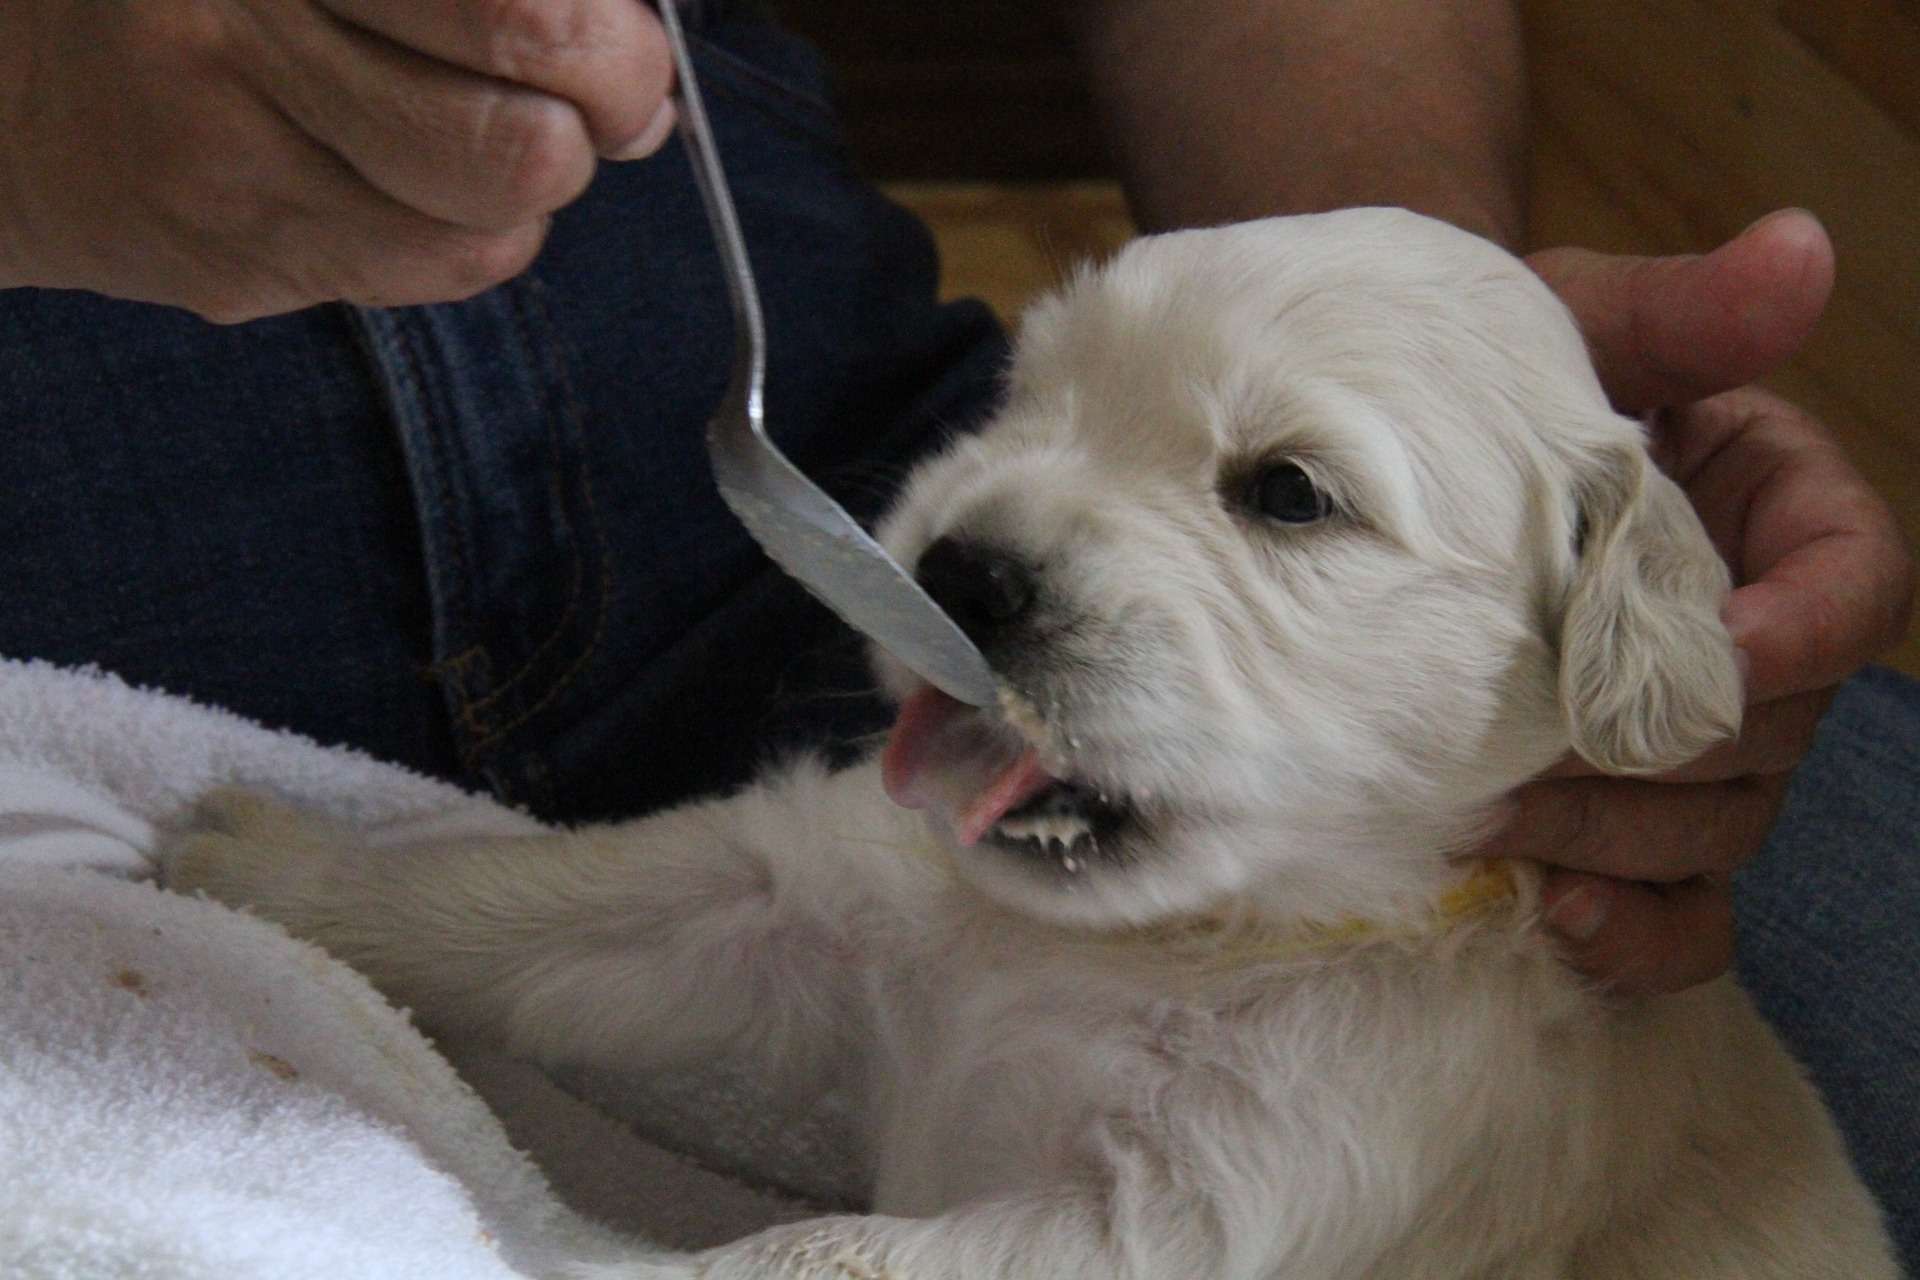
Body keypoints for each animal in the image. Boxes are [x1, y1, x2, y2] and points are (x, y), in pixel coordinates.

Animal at [168, 210, 1904, 1280]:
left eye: (1288, 494)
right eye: (1027, 396)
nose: (963, 574)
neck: (1148, 945)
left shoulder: (1210, 1210)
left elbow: (813, 1251)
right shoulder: (797, 903)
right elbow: (528, 899)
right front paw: (266, 868)